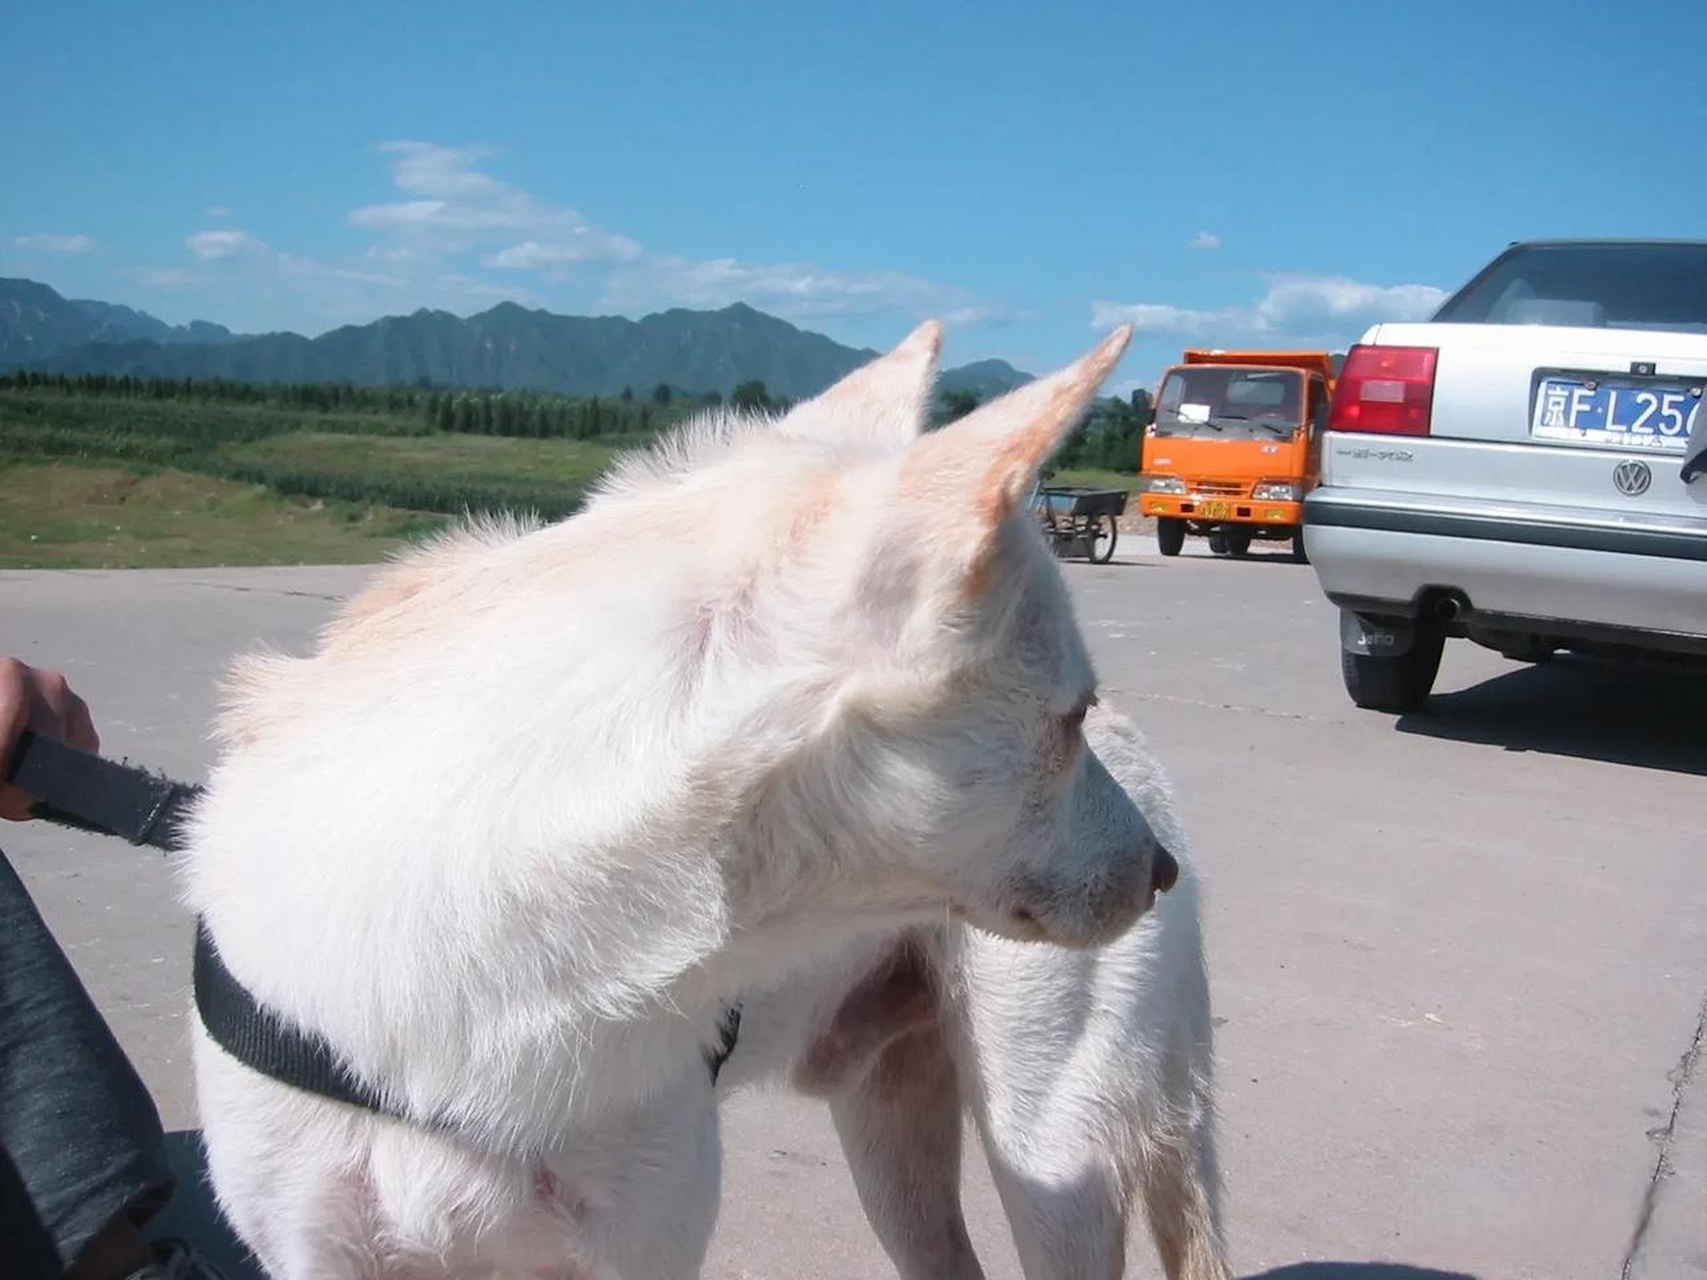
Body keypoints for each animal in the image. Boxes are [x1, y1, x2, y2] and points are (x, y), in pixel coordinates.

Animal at [180, 322, 1181, 1280]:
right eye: (1069, 719)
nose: (1165, 870)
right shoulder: (317, 1254)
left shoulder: (642, 1245)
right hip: (890, 1131)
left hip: (1047, 1158)